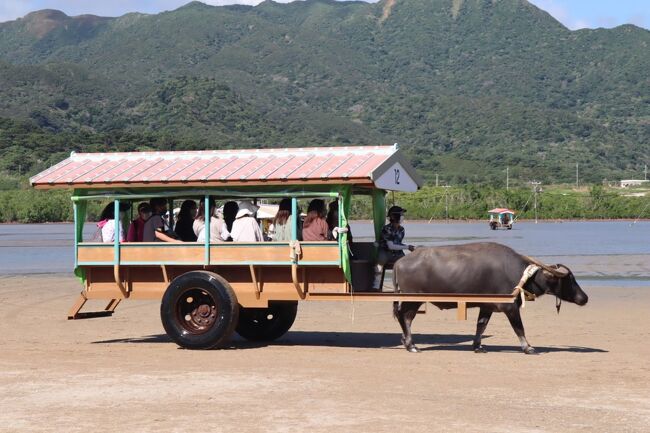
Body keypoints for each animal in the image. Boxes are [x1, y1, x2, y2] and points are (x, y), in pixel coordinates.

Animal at [390, 241, 588, 352]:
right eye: (569, 279)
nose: (584, 298)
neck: (521, 275)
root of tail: (399, 262)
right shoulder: (510, 307)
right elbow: (519, 328)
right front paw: (528, 347)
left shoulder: (486, 306)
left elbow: (481, 326)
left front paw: (477, 346)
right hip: (413, 299)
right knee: (405, 317)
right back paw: (411, 345)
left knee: (403, 316)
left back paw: (407, 342)